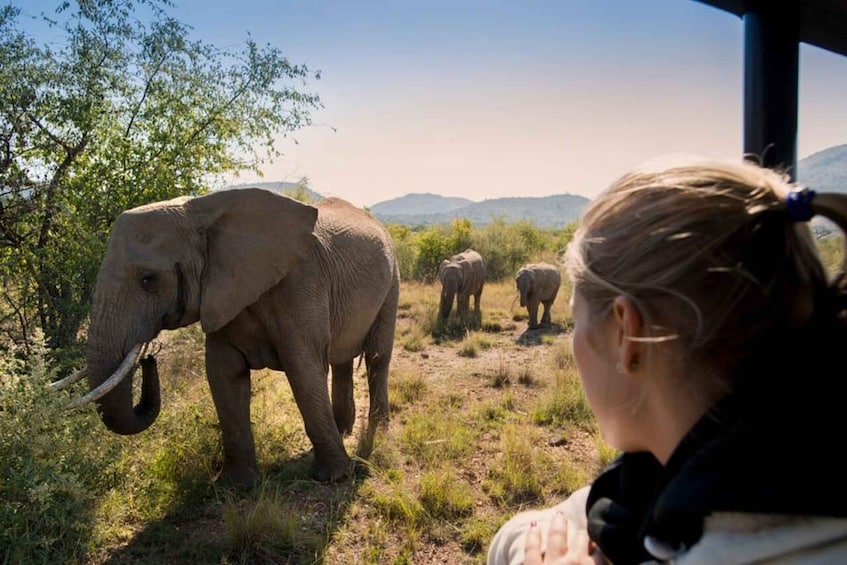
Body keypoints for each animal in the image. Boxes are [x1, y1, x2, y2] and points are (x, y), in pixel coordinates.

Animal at [71, 188, 400, 488]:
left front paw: (332, 478)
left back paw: (379, 434)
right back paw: (344, 429)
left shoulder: (302, 283)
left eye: (148, 280)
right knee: (343, 358)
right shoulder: (220, 295)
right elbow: (223, 375)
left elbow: (303, 370)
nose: (150, 356)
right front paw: (236, 486)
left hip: (392, 279)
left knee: (377, 357)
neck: (202, 211)